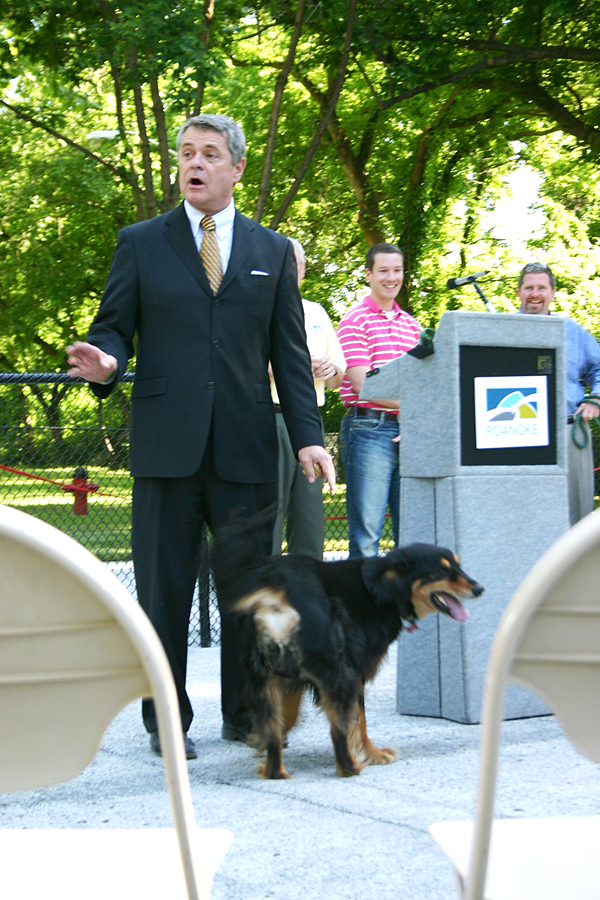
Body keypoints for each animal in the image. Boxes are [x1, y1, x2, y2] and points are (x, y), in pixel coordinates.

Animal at [211, 520, 482, 780]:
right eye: (441, 571)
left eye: (457, 566)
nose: (479, 588)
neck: (381, 589)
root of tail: (278, 592)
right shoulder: (354, 671)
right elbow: (358, 720)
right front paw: (372, 754)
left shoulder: (288, 676)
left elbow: (286, 717)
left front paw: (264, 750)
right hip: (336, 673)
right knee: (337, 729)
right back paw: (348, 768)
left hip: (264, 677)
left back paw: (276, 771)